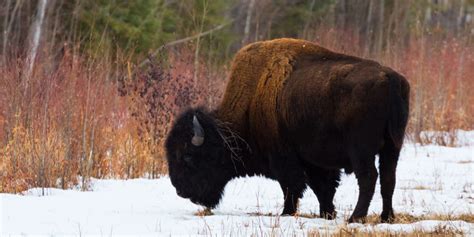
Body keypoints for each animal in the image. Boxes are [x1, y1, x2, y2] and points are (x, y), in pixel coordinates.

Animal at [165, 38, 410, 222]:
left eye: (187, 156)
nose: (180, 190)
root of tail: (391, 78)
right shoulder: (314, 162)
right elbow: (323, 188)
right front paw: (327, 214)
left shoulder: (284, 159)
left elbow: (293, 187)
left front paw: (287, 213)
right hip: (393, 146)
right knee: (388, 178)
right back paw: (386, 217)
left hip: (361, 151)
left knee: (369, 177)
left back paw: (356, 218)